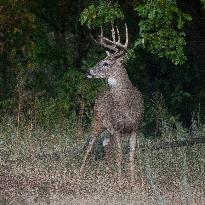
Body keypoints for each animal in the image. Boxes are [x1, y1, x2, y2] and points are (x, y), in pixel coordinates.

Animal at [80, 23, 144, 183]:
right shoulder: (116, 129)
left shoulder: (135, 128)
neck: (126, 106)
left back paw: (110, 172)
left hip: (107, 129)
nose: (89, 72)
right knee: (90, 145)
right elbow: (119, 156)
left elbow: (131, 156)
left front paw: (133, 182)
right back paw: (80, 171)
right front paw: (121, 182)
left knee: (104, 145)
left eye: (106, 63)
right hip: (97, 121)